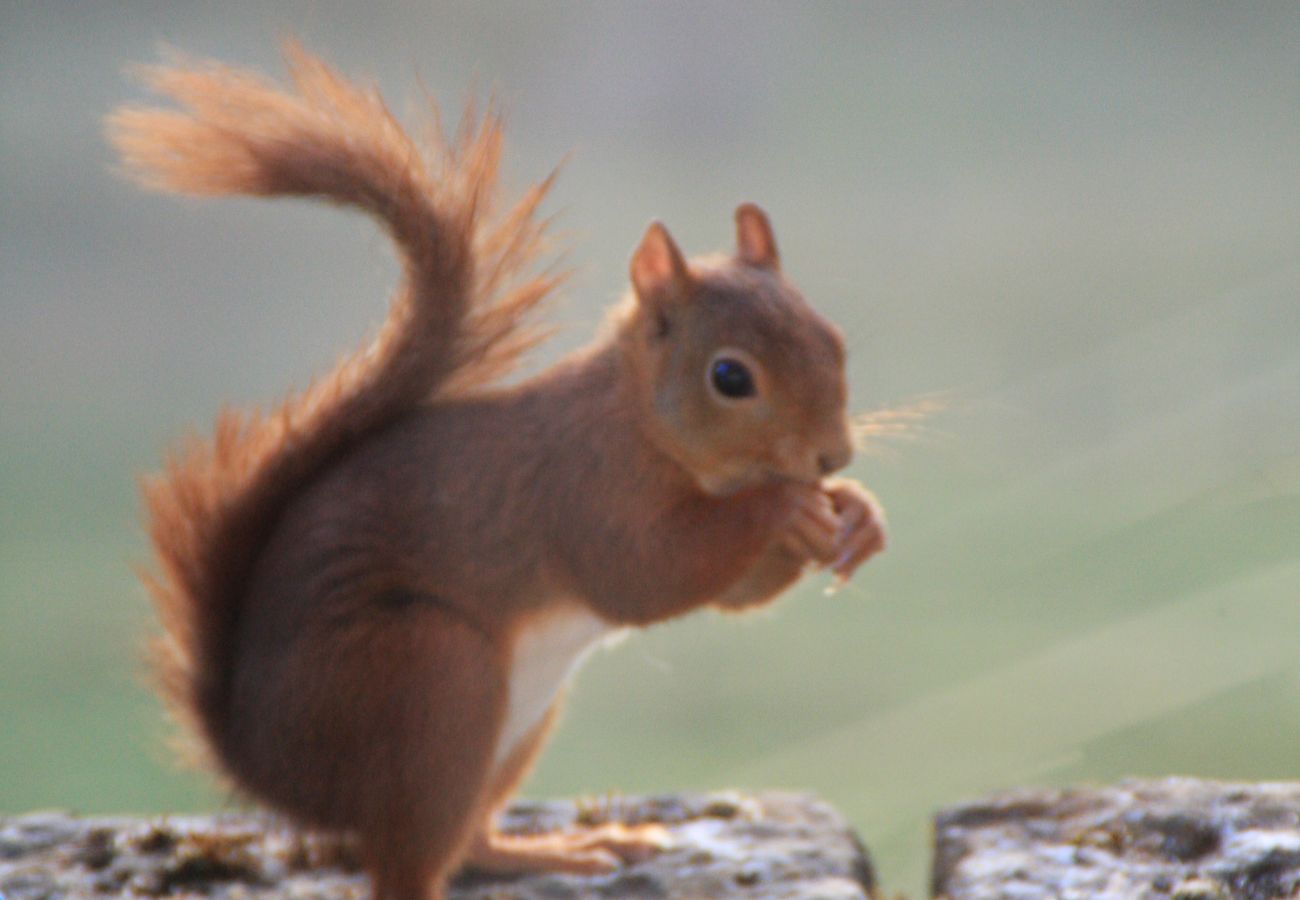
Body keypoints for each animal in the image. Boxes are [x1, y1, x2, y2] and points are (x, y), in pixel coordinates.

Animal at [109, 43, 883, 900]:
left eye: (832, 338)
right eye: (730, 377)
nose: (832, 456)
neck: (639, 421)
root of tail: (265, 767)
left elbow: (738, 593)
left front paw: (856, 514)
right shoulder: (586, 486)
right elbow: (645, 574)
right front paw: (783, 507)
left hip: (512, 727)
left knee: (470, 842)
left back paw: (562, 849)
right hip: (434, 683)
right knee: (408, 859)